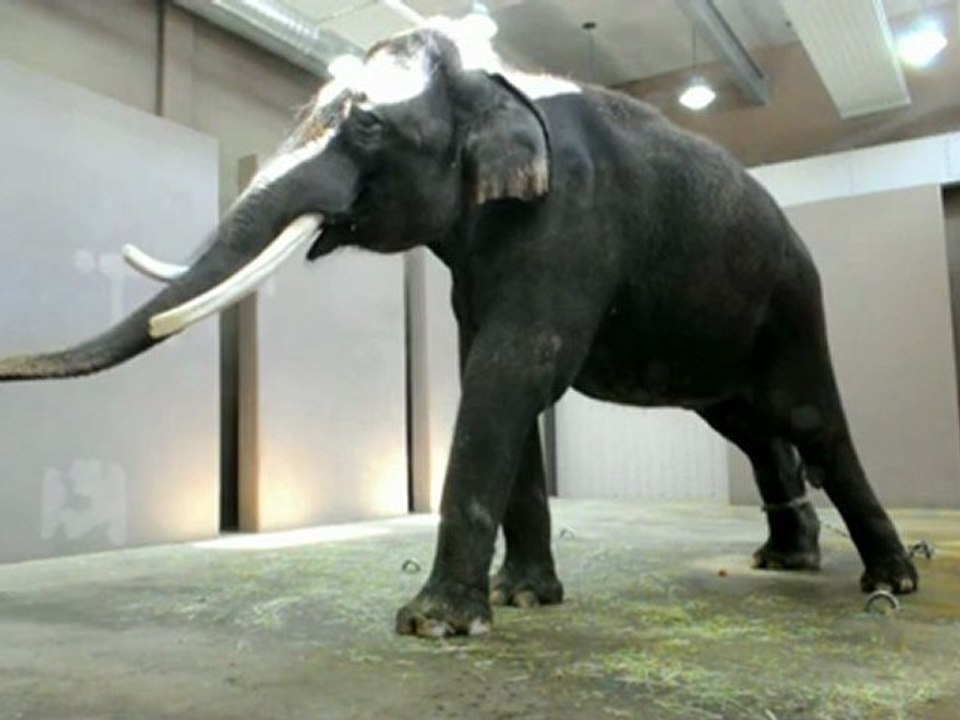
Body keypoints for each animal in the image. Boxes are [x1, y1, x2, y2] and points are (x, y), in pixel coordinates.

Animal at [0, 20, 917, 638]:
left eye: (366, 125)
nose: (10, 365)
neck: (495, 81)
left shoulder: (570, 220)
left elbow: (515, 371)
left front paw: (434, 624)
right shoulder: (476, 262)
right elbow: (498, 375)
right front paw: (522, 599)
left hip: (794, 299)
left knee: (808, 420)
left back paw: (894, 580)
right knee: (750, 426)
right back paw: (786, 561)